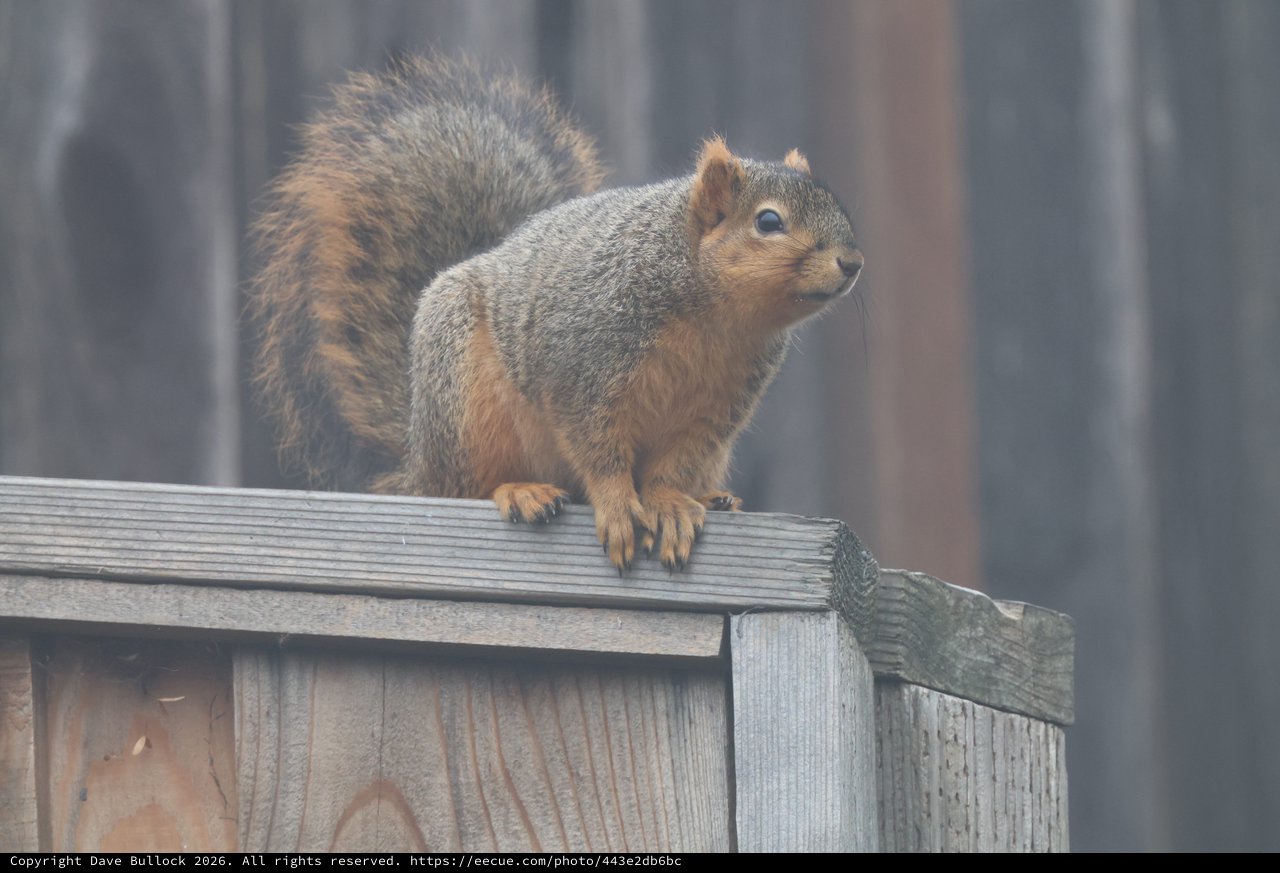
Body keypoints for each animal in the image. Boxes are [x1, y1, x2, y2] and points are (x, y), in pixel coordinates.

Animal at [249, 54, 862, 572]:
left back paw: (711, 495)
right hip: (466, 406)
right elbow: (596, 445)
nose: (853, 263)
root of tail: (418, 461)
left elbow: (673, 462)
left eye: (838, 205)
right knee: (466, 487)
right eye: (768, 222)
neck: (715, 315)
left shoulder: (717, 409)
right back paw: (519, 491)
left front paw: (668, 502)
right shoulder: (582, 362)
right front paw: (618, 505)